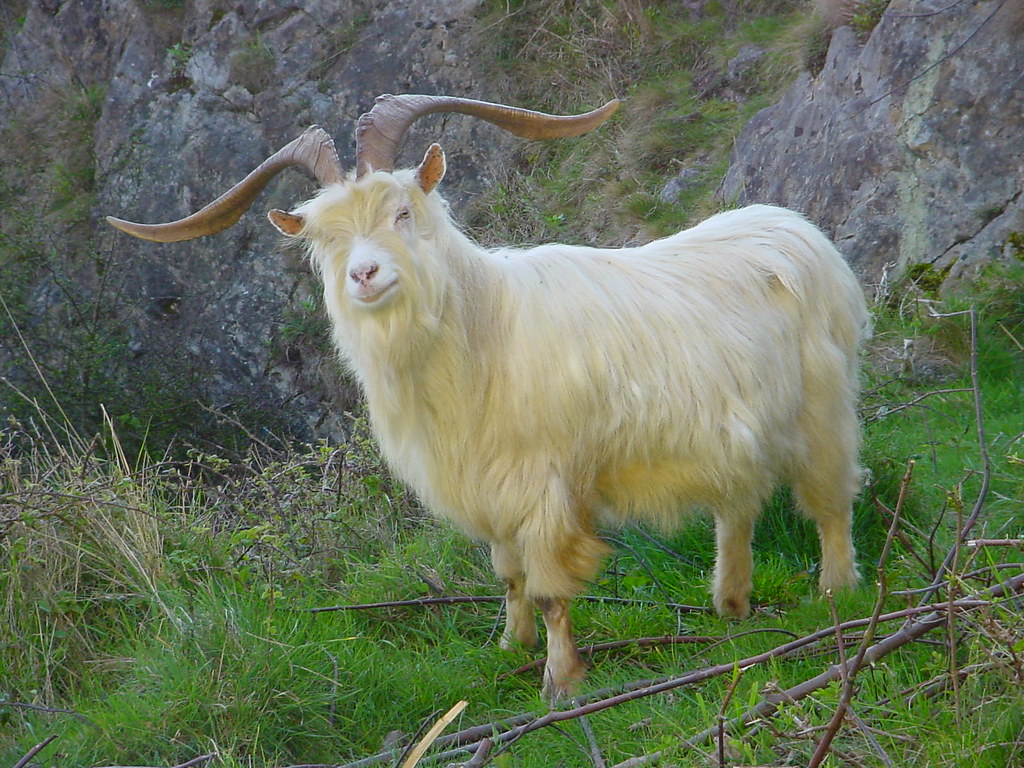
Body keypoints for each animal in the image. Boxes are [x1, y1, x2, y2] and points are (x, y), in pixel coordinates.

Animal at [107, 94, 869, 701]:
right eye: (323, 239)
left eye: (403, 211)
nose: (364, 274)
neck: (481, 332)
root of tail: (798, 228)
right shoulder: (488, 486)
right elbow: (507, 576)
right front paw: (510, 647)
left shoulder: (547, 486)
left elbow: (551, 587)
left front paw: (560, 682)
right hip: (738, 434)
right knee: (738, 506)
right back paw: (731, 604)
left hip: (823, 408)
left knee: (831, 501)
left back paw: (836, 593)